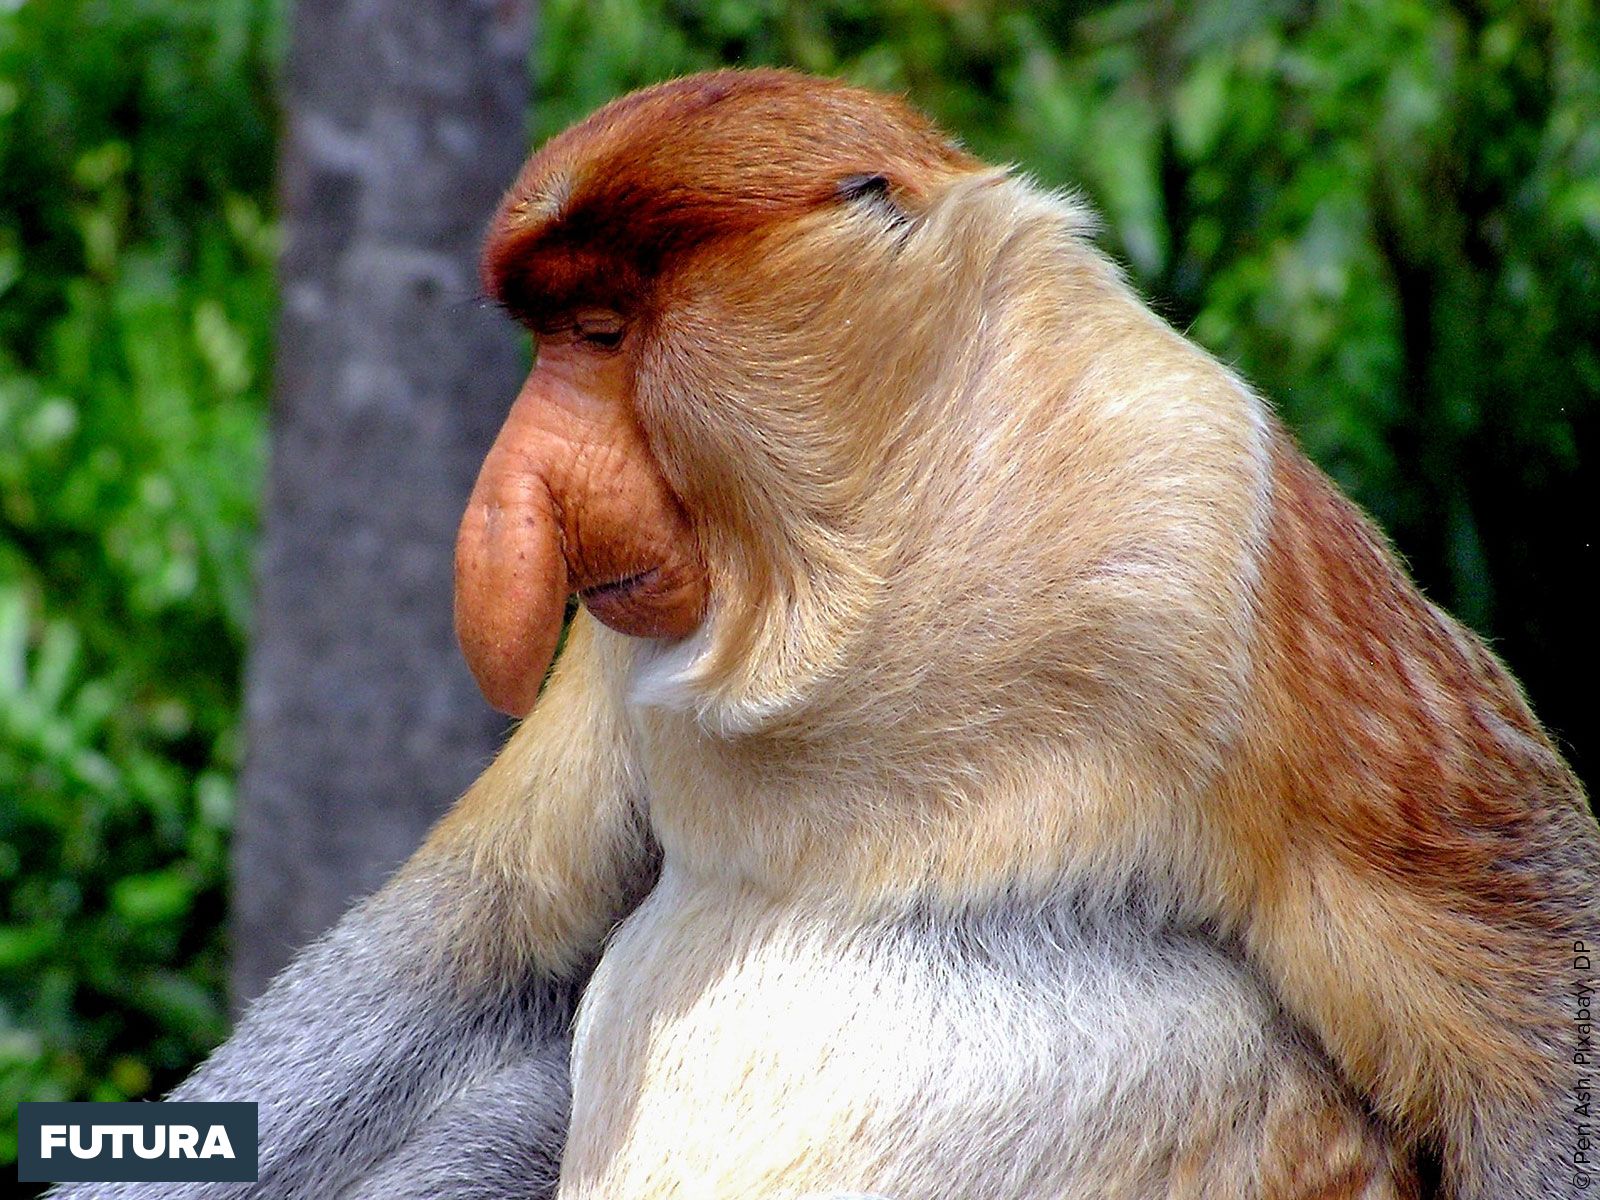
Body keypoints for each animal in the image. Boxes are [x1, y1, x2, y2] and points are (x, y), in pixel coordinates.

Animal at [56, 70, 1593, 1200]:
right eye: (554, 336)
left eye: (603, 331)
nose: (516, 493)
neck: (888, 557)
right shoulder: (624, 648)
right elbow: (464, 952)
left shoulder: (1218, 521)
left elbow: (1524, 996)